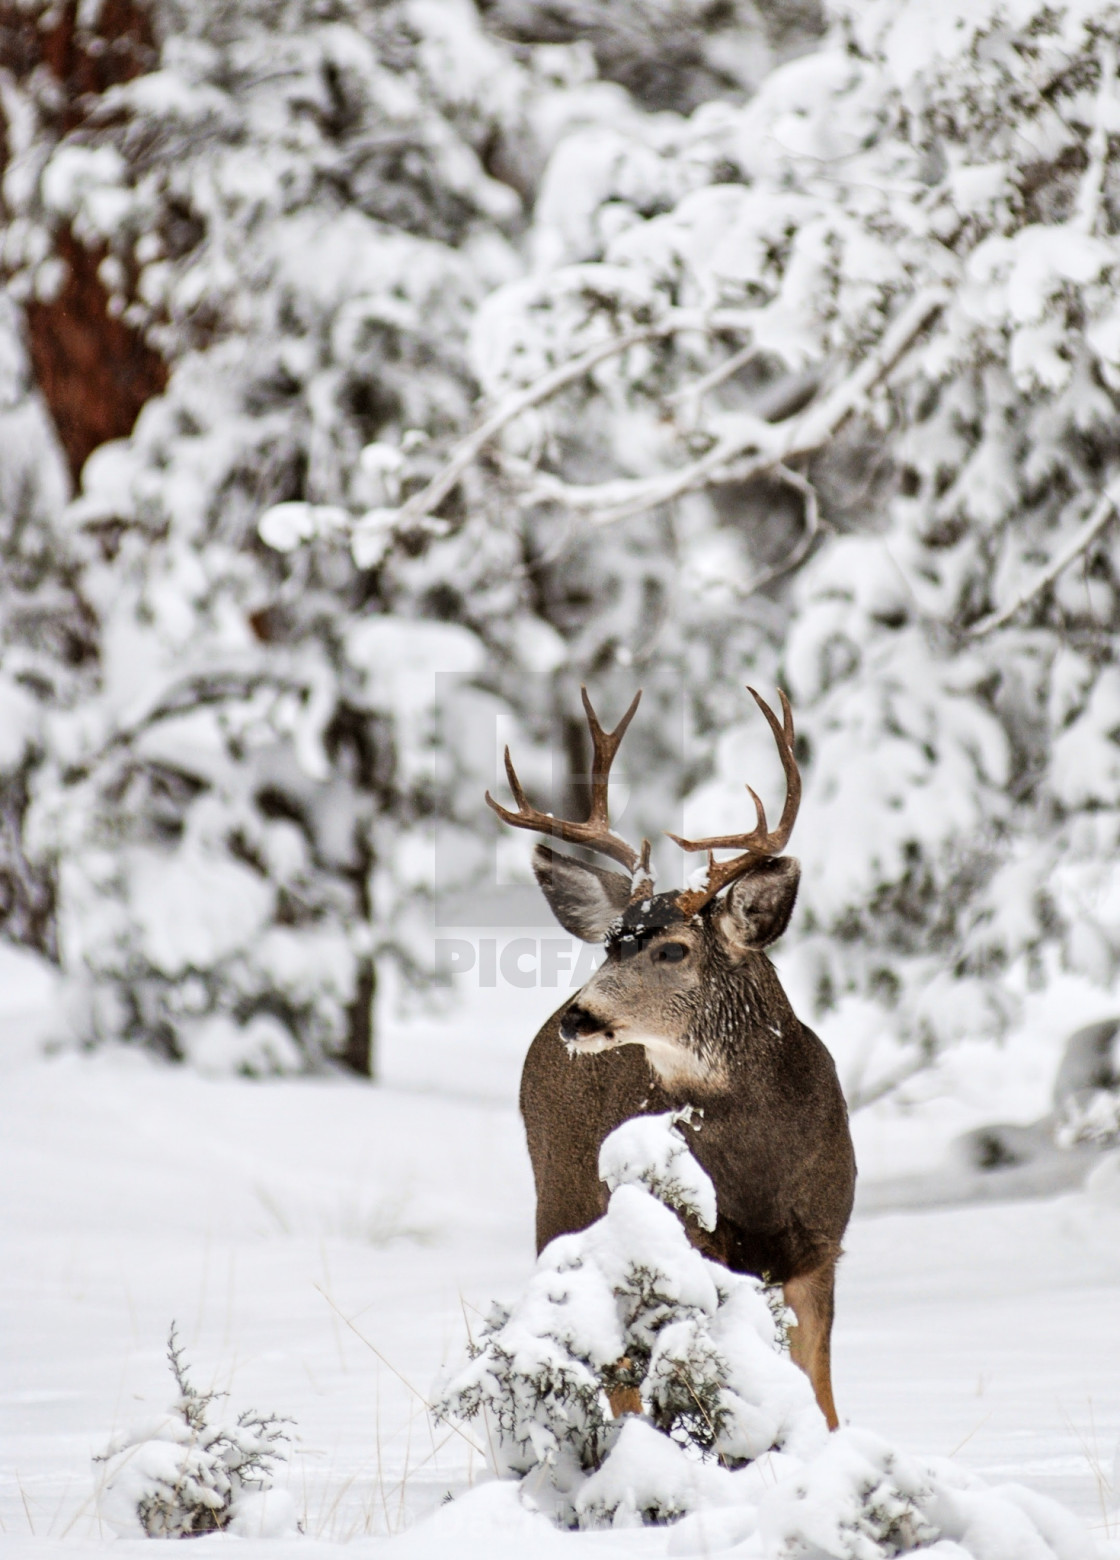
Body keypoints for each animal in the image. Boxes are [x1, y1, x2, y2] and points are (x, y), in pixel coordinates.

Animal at [486, 689, 854, 1428]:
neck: (759, 1168)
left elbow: (823, 1400)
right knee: (613, 1375)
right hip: (562, 1207)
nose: (579, 1017)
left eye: (674, 948)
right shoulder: (694, 1242)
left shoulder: (822, 1244)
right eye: (608, 945)